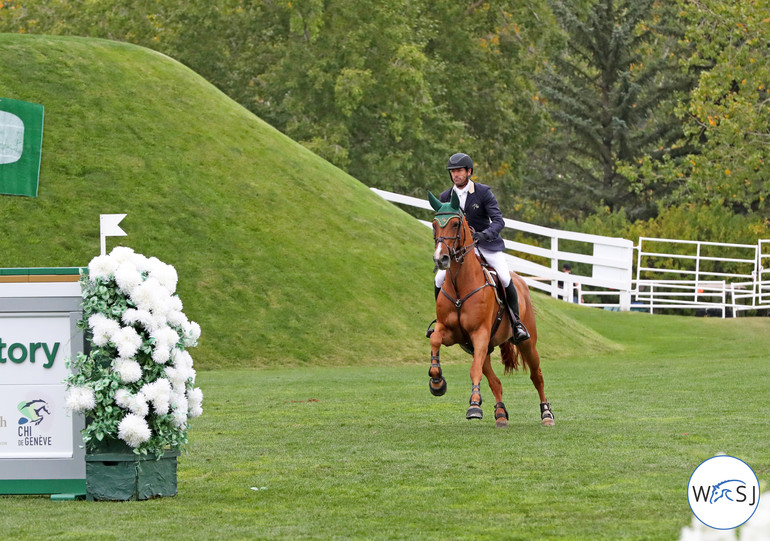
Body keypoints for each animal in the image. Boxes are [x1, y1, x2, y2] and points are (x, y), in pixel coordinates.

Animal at [426, 190, 552, 426]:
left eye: (455, 224)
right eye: (434, 224)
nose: (441, 259)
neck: (460, 285)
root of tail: (520, 281)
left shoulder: (480, 334)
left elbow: (473, 370)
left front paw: (474, 405)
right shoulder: (452, 333)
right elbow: (435, 340)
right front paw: (437, 382)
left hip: (526, 343)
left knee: (536, 376)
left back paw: (547, 414)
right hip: (481, 348)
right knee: (495, 381)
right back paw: (500, 414)